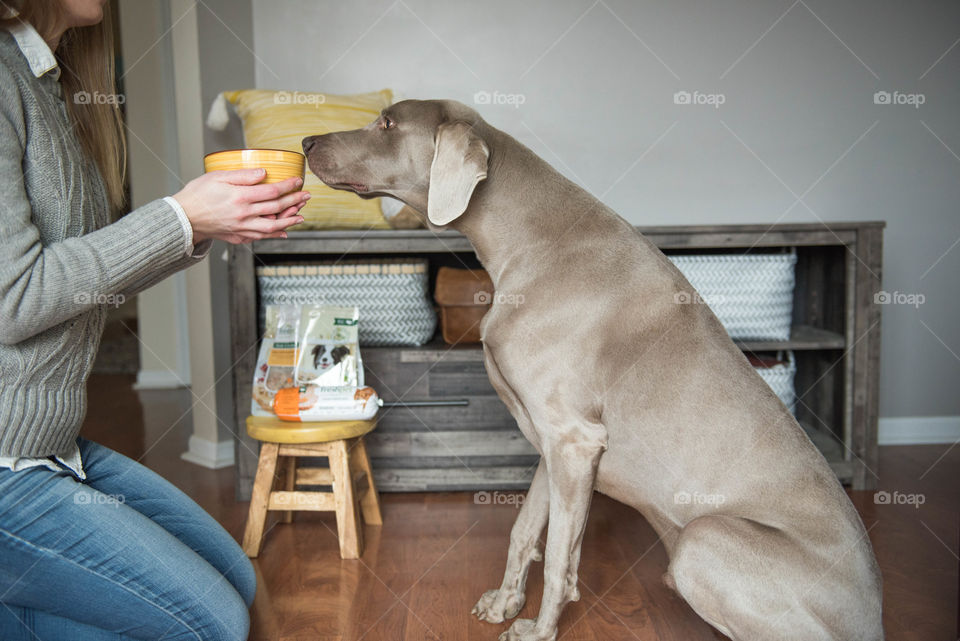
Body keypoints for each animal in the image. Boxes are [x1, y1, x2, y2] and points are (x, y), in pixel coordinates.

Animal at [302, 100, 884, 640]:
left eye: (386, 124)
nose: (306, 140)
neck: (531, 240)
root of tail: (874, 618)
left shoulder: (573, 438)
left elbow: (559, 555)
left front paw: (539, 629)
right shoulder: (552, 442)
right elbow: (529, 530)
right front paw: (505, 603)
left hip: (705, 538)